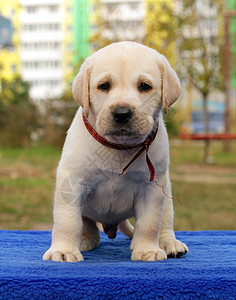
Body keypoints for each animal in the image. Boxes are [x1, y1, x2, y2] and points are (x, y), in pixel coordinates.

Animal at [42, 41, 188, 262]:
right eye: (104, 85)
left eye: (145, 86)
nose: (122, 113)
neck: (119, 146)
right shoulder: (72, 182)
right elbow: (67, 221)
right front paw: (64, 250)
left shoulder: (151, 188)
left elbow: (149, 223)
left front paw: (147, 250)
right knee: (90, 229)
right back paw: (84, 241)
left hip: (166, 192)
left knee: (164, 222)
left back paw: (168, 243)